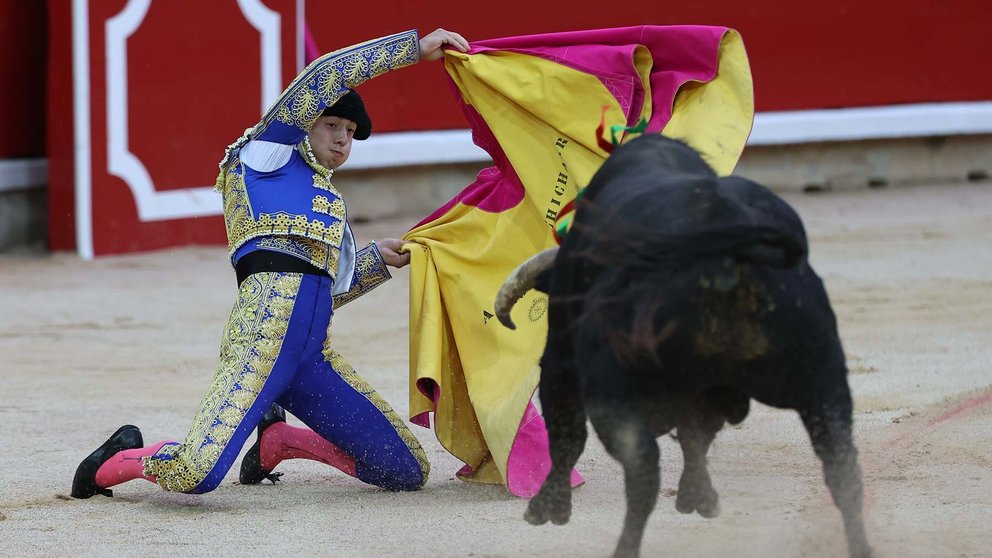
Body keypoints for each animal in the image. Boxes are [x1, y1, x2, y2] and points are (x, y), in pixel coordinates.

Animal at [494, 136, 868, 558]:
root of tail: (725, 258)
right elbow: (696, 435)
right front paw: (698, 497)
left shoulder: (561, 359)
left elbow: (567, 434)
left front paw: (548, 509)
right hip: (824, 381)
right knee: (844, 472)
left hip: (613, 392)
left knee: (642, 473)